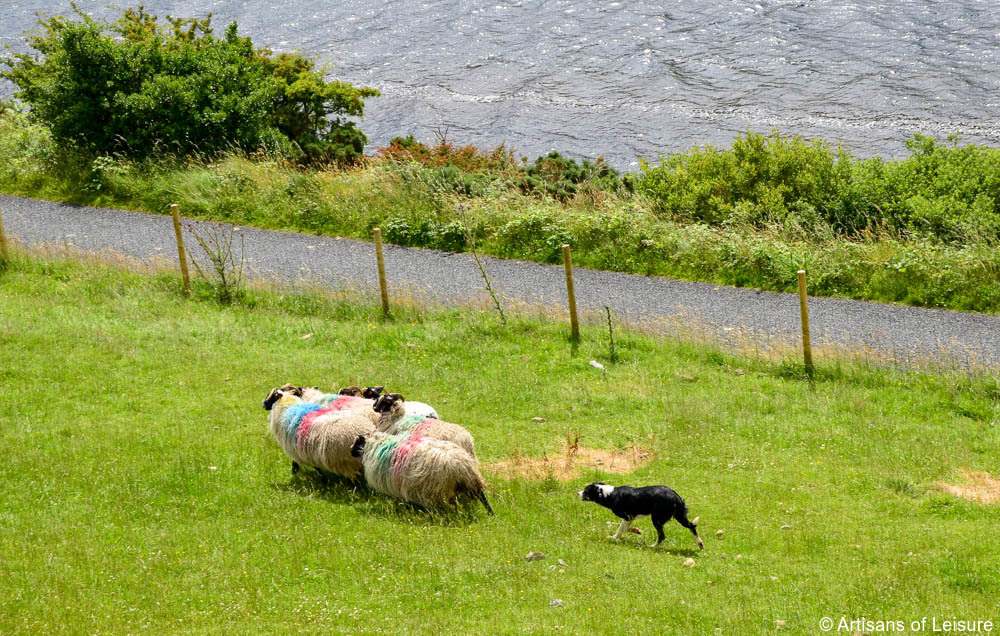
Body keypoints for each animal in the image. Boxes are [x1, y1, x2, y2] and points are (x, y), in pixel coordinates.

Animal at [350, 430, 494, 516]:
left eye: (357, 442)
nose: (350, 451)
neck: (374, 444)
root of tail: (463, 466)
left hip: (437, 489)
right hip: (471, 483)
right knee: (482, 496)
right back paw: (490, 513)